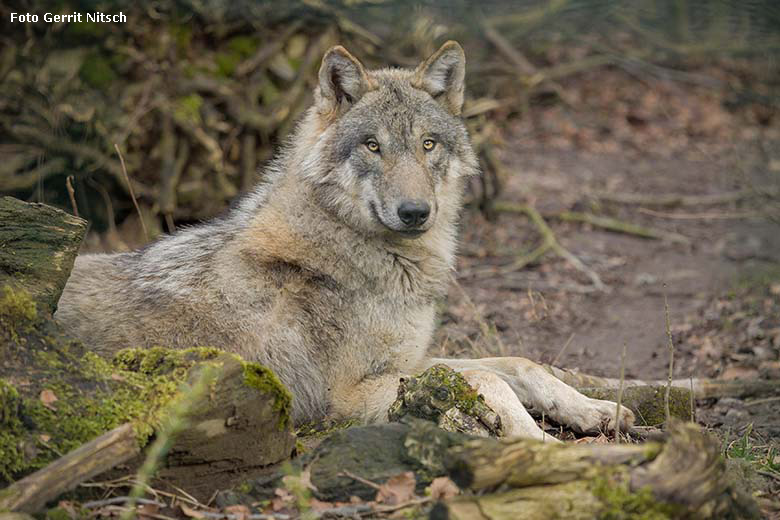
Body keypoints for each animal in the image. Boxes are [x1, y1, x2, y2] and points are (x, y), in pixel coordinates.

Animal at [56, 41, 632, 438]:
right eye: (373, 146)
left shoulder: (408, 364)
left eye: (428, 144)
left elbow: (520, 364)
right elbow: (490, 382)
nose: (415, 212)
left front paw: (595, 409)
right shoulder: (348, 396)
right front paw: (542, 445)